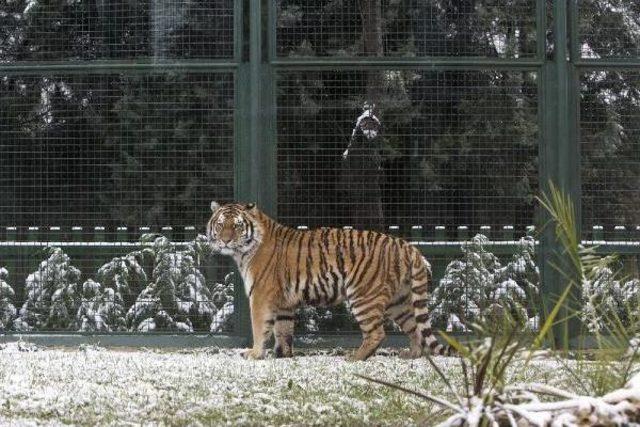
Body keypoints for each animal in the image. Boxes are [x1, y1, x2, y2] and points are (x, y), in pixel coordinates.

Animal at [208, 203, 448, 362]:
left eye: (237, 226)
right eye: (220, 225)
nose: (225, 240)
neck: (243, 252)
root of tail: (407, 246)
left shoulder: (260, 296)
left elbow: (259, 327)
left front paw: (255, 353)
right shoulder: (284, 302)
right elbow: (283, 330)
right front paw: (283, 355)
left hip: (364, 296)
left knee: (377, 333)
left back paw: (354, 357)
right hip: (399, 301)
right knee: (415, 328)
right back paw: (412, 354)